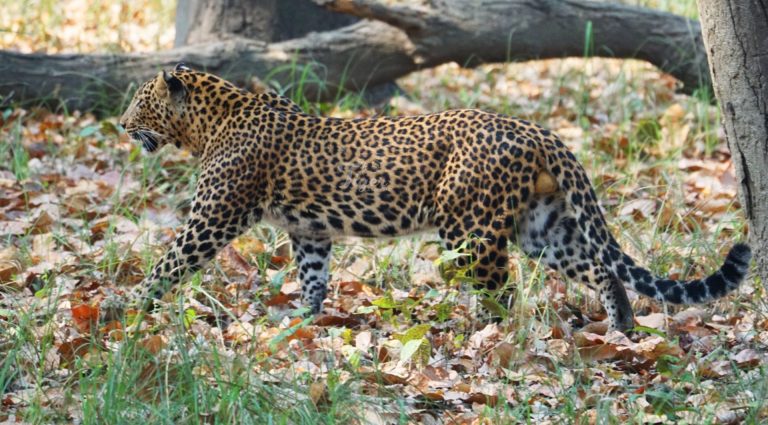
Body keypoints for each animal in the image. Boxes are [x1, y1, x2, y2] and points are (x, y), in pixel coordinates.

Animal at [118, 63, 752, 332]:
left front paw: (125, 311)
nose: (121, 125)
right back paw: (622, 329)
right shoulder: (310, 231)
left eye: (139, 101)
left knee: (503, 294)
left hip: (469, 229)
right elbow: (313, 277)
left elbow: (167, 263)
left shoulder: (213, 216)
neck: (208, 122)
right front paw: (302, 324)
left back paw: (490, 341)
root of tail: (537, 131)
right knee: (601, 267)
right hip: (542, 226)